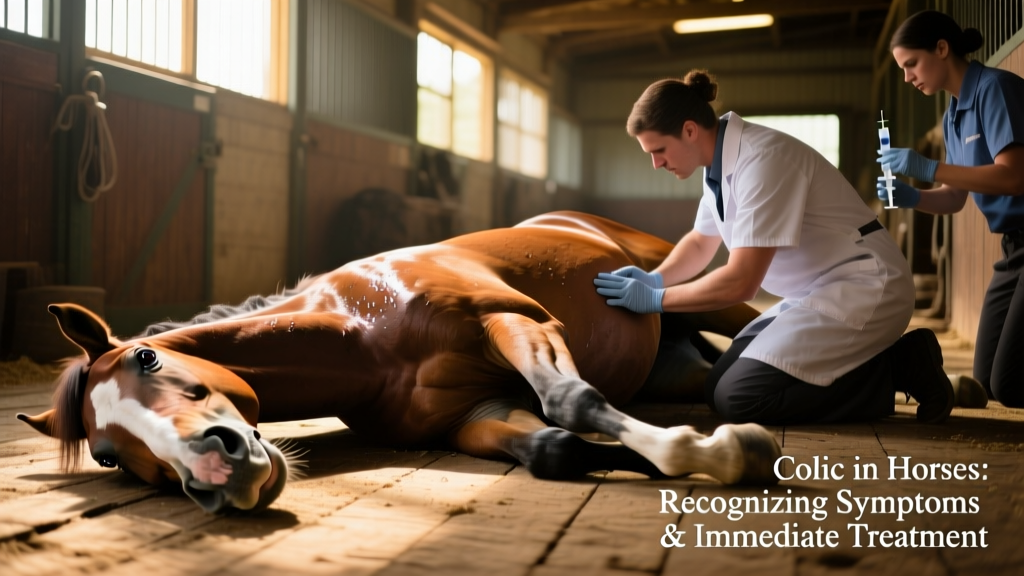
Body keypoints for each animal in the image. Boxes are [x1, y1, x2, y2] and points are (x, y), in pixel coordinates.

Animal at [18, 211, 782, 513]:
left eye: (148, 358)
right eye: (108, 455)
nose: (213, 472)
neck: (363, 332)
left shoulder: (517, 322)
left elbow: (572, 401)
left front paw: (722, 451)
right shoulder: (472, 418)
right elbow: (555, 448)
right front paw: (714, 453)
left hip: (707, 293)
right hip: (677, 362)